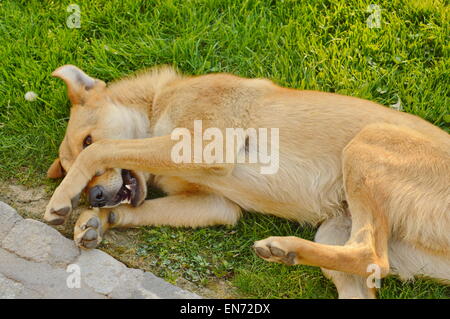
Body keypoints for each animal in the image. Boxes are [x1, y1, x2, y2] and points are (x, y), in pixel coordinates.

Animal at [45, 65, 450, 300]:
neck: (158, 103)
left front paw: (62, 200)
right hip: (335, 230)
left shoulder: (203, 146)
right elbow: (139, 205)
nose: (96, 196)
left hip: (366, 144)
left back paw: (282, 246)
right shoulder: (218, 206)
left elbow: (109, 149)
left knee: (372, 255)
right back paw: (286, 250)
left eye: (86, 139)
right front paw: (96, 221)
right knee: (369, 262)